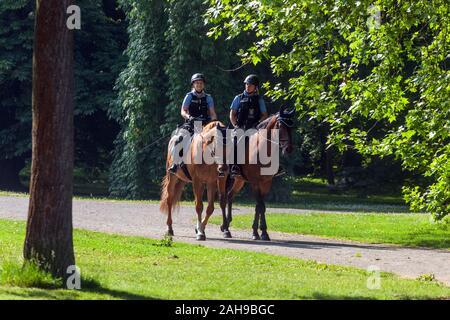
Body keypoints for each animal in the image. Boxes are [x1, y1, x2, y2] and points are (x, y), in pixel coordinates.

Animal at [221, 107, 296, 240]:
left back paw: (228, 224)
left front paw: (263, 232)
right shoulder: (255, 183)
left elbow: (260, 206)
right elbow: (260, 205)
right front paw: (256, 233)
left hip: (239, 180)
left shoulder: (266, 183)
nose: (288, 148)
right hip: (225, 178)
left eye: (292, 126)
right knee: (224, 199)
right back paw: (225, 228)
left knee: (230, 196)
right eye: (280, 125)